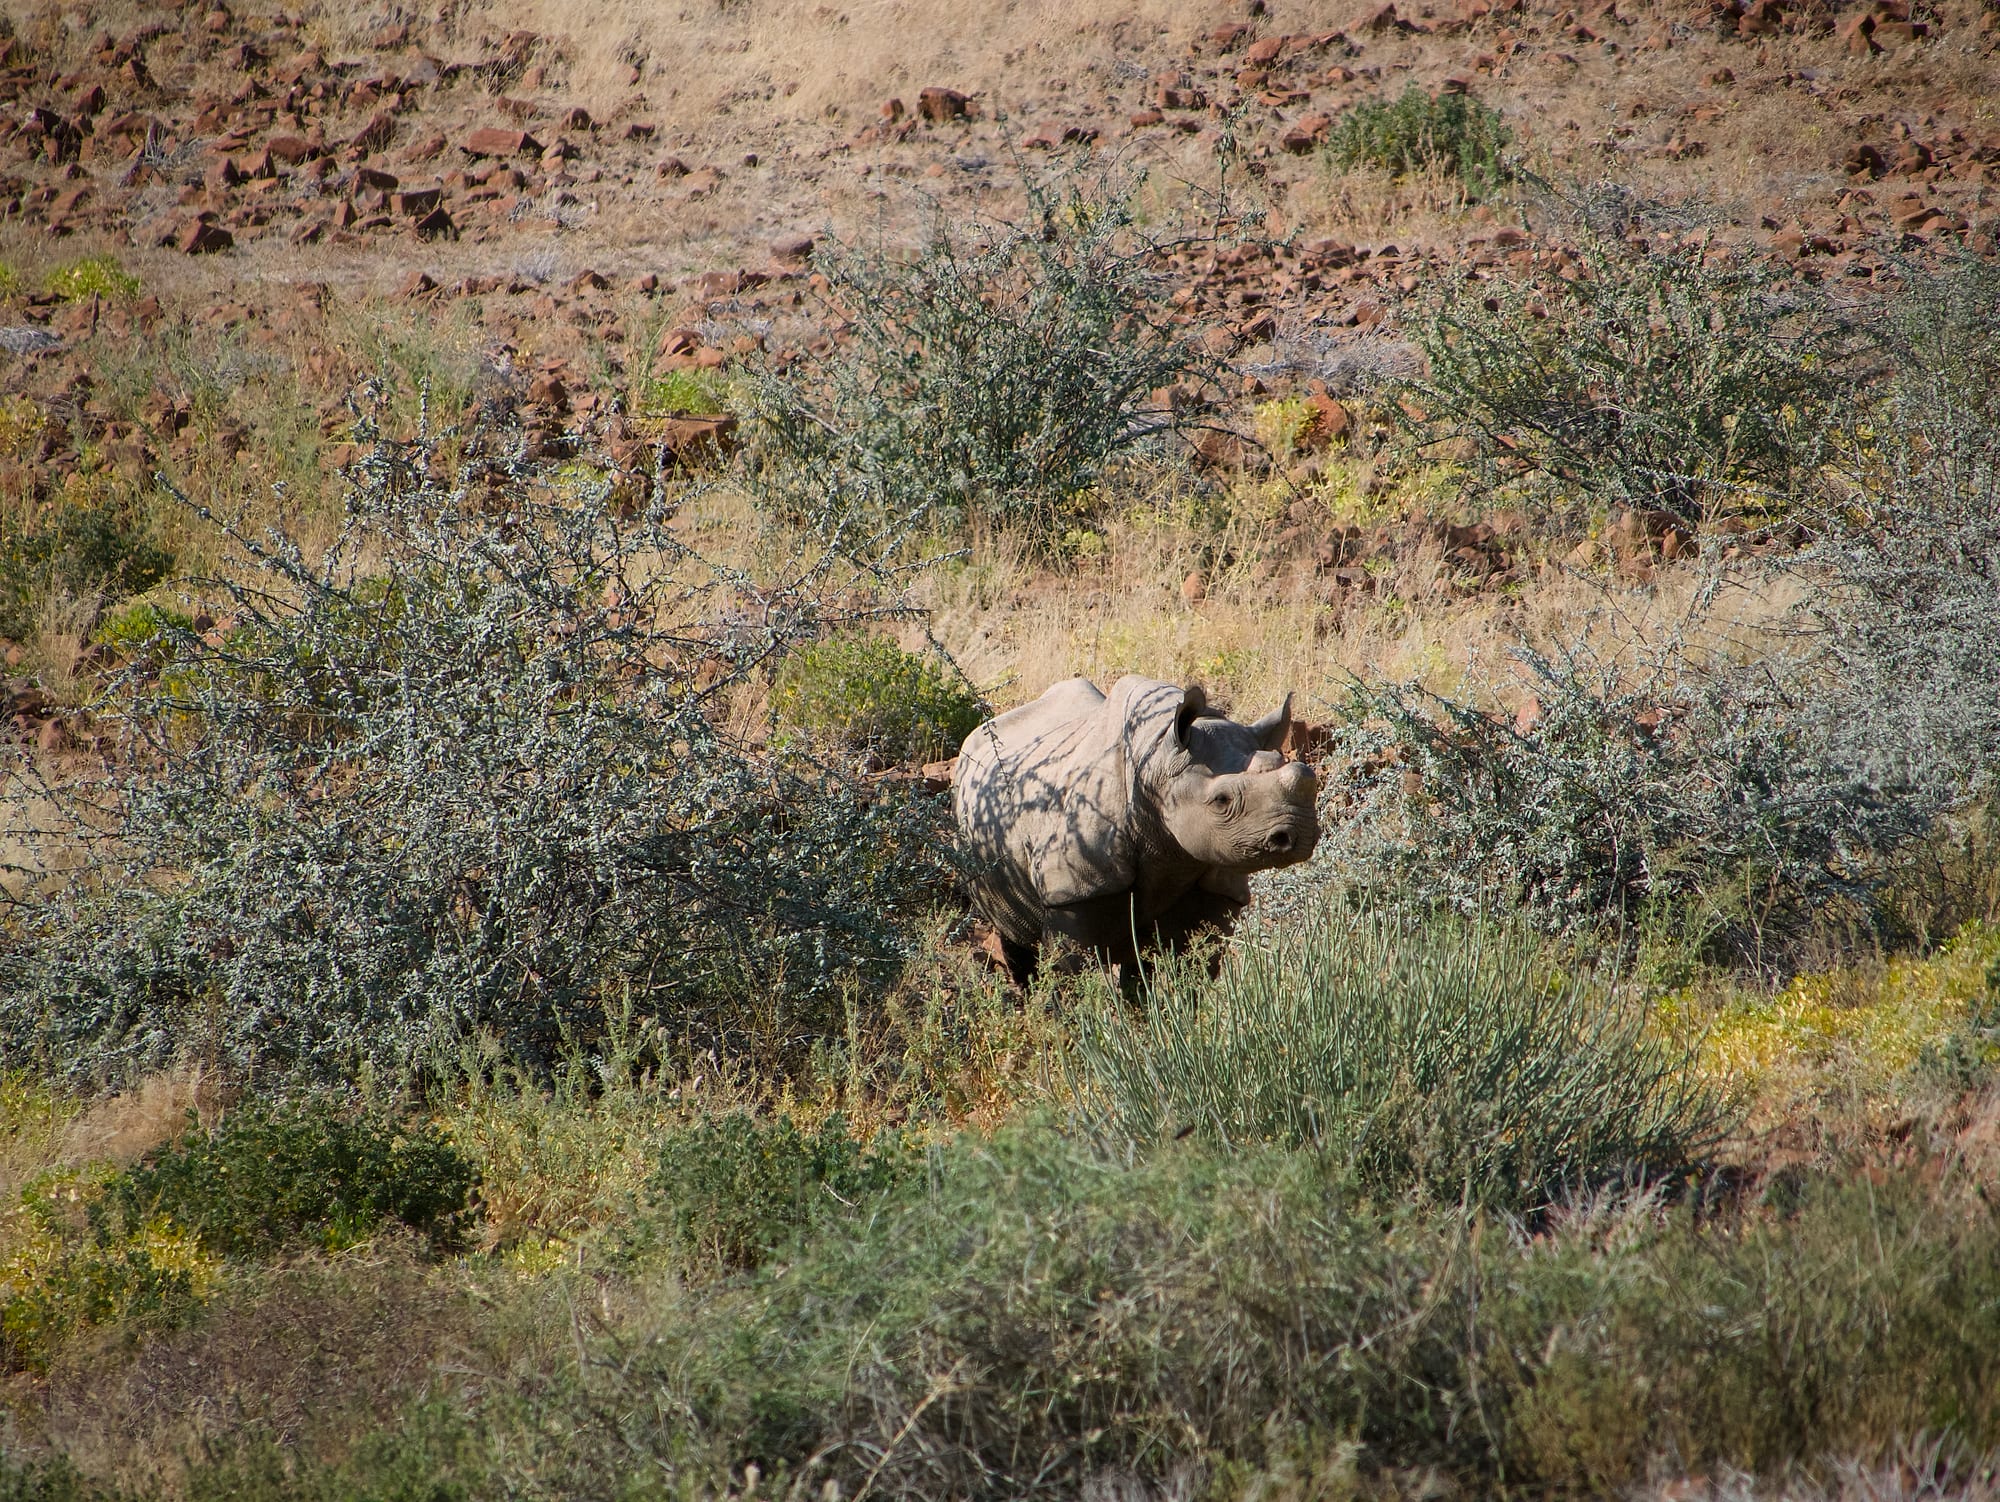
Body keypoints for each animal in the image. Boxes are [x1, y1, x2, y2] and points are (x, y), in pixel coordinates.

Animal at [953, 675, 1319, 986]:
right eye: (1221, 801)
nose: (1298, 833)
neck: (1156, 756)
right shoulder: (1075, 888)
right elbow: (1071, 978)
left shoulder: (1215, 879)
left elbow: (1196, 969)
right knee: (1015, 938)